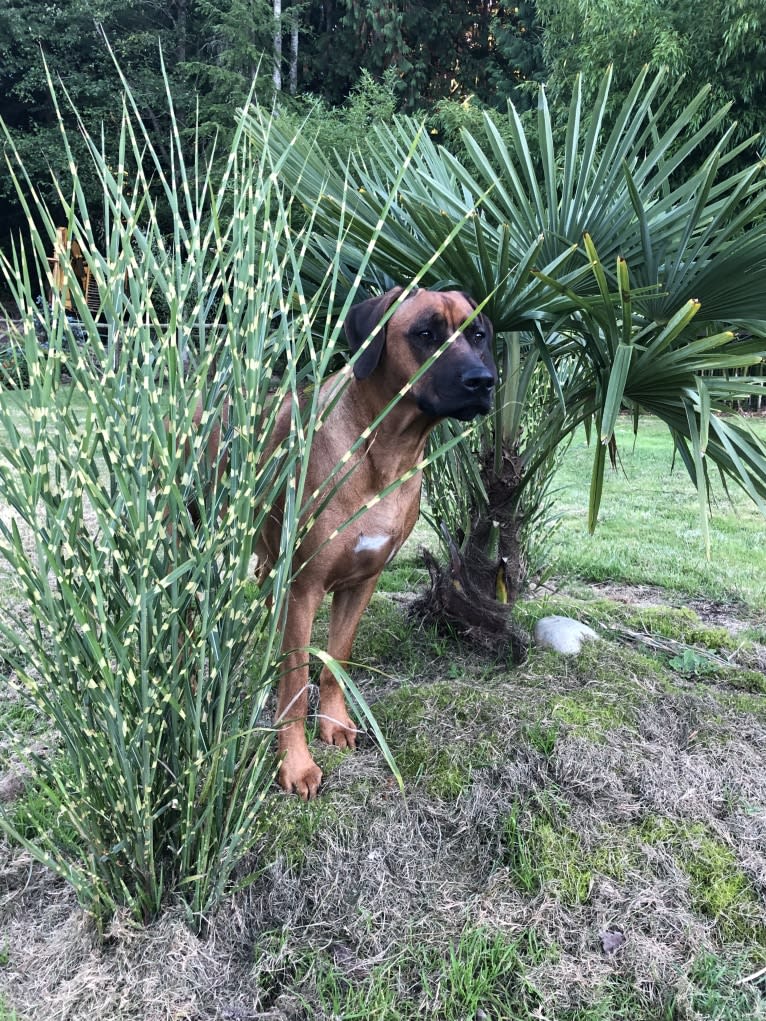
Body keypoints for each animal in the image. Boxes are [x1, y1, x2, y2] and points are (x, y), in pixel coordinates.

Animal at [256, 287, 498, 796]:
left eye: (478, 335)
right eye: (425, 334)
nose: (482, 381)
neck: (385, 451)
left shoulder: (362, 581)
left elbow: (336, 659)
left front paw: (333, 724)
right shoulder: (304, 588)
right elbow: (295, 682)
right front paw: (295, 764)